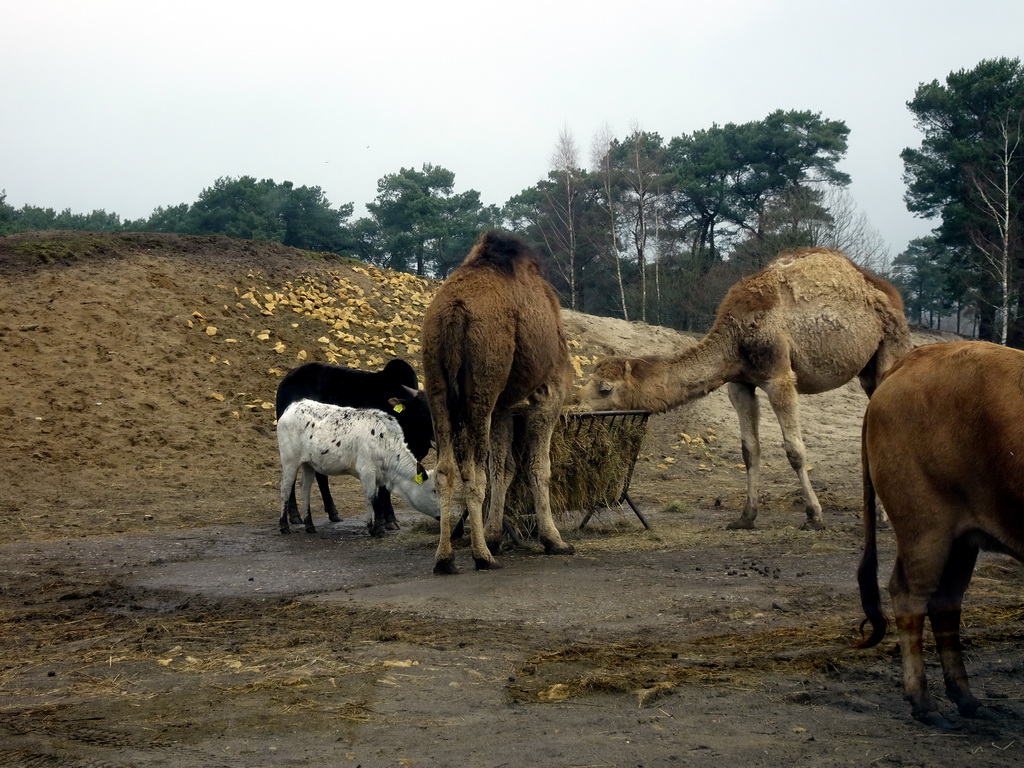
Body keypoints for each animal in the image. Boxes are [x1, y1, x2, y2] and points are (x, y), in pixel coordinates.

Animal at [276, 403, 440, 536]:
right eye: (434, 490)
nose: (441, 514)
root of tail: (292, 407)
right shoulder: (367, 471)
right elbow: (373, 499)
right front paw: (378, 530)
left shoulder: (377, 477)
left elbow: (374, 499)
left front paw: (371, 526)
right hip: (290, 461)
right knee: (286, 487)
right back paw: (284, 526)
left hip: (309, 464)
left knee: (305, 488)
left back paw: (309, 525)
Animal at [417, 231, 577, 573]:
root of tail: (453, 312)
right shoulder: (549, 389)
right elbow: (538, 466)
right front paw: (554, 540)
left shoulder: (502, 406)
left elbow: (502, 467)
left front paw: (493, 536)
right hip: (482, 386)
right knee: (473, 473)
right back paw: (481, 556)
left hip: (437, 384)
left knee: (446, 469)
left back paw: (445, 558)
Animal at [577, 249, 913, 532]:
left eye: (604, 389)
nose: (576, 405)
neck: (736, 336)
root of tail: (889, 293)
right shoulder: (739, 383)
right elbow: (749, 450)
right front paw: (745, 517)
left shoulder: (779, 376)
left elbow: (795, 450)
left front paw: (814, 516)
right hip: (867, 369)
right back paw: (879, 517)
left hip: (890, 349)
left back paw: (885, 519)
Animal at [856, 342, 1024, 729]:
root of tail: (915, 358)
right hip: (925, 529)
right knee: (910, 597)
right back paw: (923, 702)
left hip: (962, 540)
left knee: (946, 602)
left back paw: (967, 698)